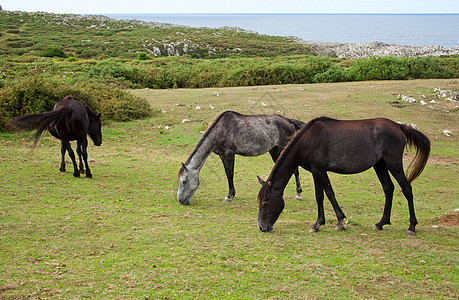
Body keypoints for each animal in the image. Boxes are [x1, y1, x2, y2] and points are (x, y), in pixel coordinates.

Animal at [258, 117, 432, 237]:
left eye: (266, 203)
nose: (261, 227)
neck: (308, 141)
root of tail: (398, 126)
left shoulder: (318, 170)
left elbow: (323, 195)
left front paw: (323, 223)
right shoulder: (319, 171)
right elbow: (326, 194)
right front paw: (333, 221)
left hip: (393, 163)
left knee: (407, 189)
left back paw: (411, 227)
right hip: (380, 165)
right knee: (388, 189)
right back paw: (381, 223)